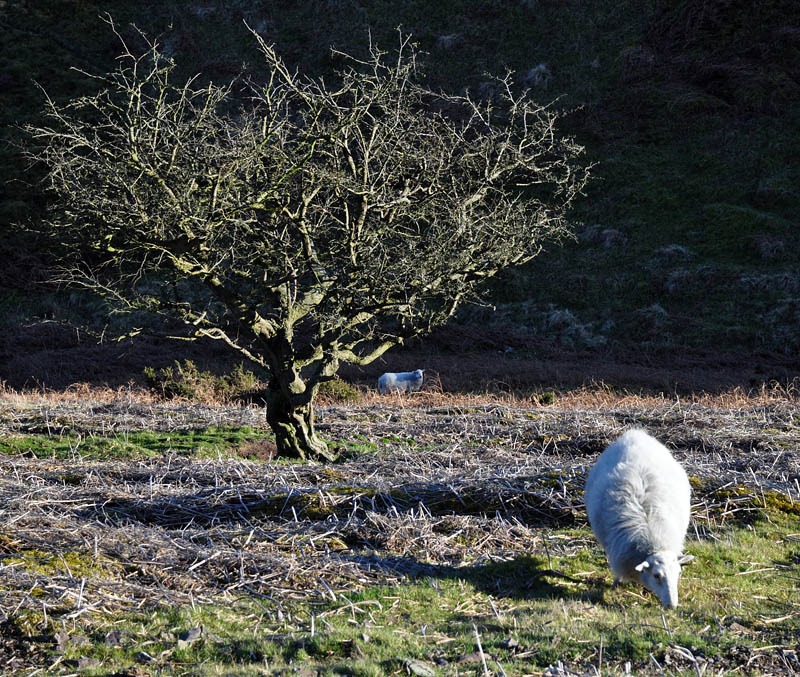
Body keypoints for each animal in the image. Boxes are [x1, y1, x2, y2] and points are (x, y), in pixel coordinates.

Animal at [584, 428, 694, 609]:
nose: (672, 606)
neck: (653, 543)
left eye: (678, 573)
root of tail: (635, 433)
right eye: (656, 576)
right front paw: (616, 584)